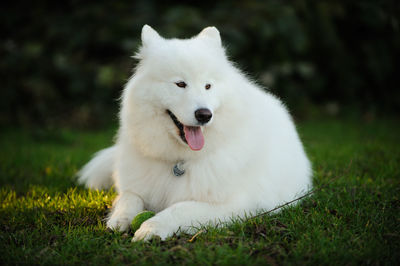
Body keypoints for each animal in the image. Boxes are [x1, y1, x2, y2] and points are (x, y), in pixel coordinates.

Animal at [78, 25, 312, 241]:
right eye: (180, 84)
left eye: (208, 86)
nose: (204, 115)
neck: (179, 162)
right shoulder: (135, 187)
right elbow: (129, 197)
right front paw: (119, 219)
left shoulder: (233, 205)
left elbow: (180, 208)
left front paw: (151, 227)